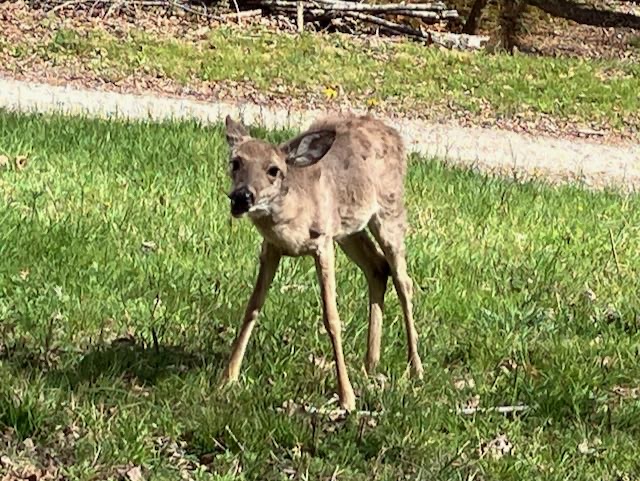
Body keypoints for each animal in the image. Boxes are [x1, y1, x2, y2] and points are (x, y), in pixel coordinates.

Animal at [219, 113, 424, 411]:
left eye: (273, 170)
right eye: (236, 162)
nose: (242, 196)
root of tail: (394, 135)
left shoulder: (323, 242)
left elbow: (332, 317)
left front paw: (346, 397)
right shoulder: (271, 248)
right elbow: (252, 308)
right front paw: (228, 377)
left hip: (390, 210)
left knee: (403, 281)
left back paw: (415, 367)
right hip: (350, 229)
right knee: (377, 267)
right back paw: (370, 363)